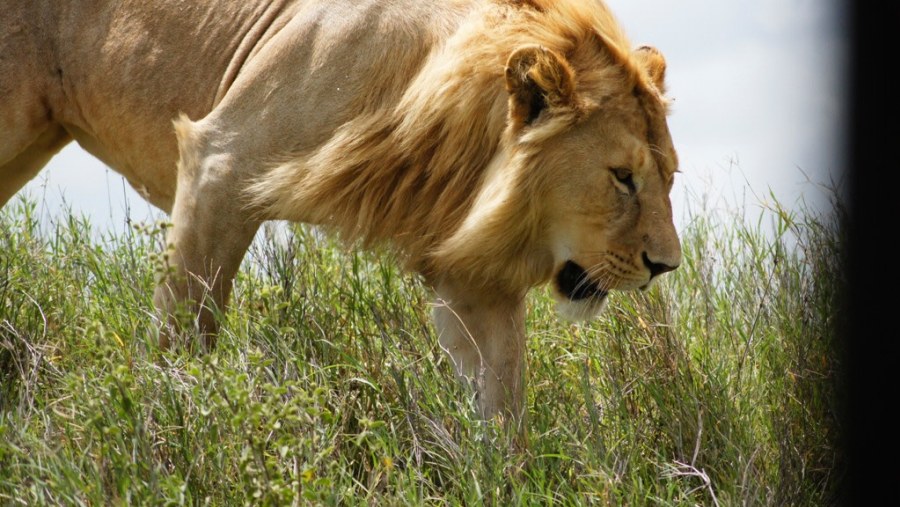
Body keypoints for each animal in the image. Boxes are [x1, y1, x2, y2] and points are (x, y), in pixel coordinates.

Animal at [0, 0, 680, 424]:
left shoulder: (472, 277)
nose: (666, 265)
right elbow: (186, 326)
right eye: (622, 178)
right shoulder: (220, 162)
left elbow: (504, 397)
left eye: (668, 176)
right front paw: (172, 419)